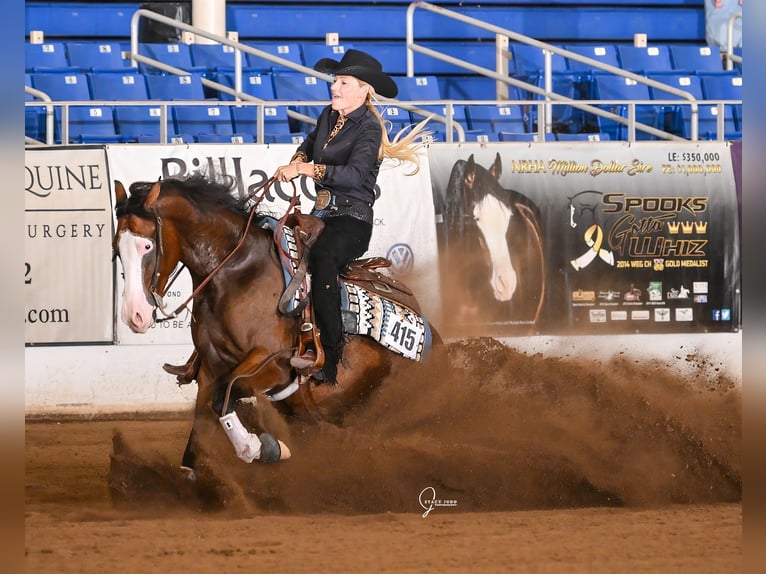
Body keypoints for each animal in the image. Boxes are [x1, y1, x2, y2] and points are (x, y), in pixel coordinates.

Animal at [112, 174, 440, 473]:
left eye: (147, 246)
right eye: (117, 247)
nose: (135, 316)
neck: (237, 272)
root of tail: (434, 341)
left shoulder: (271, 367)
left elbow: (224, 395)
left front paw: (258, 447)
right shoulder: (210, 368)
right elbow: (202, 425)